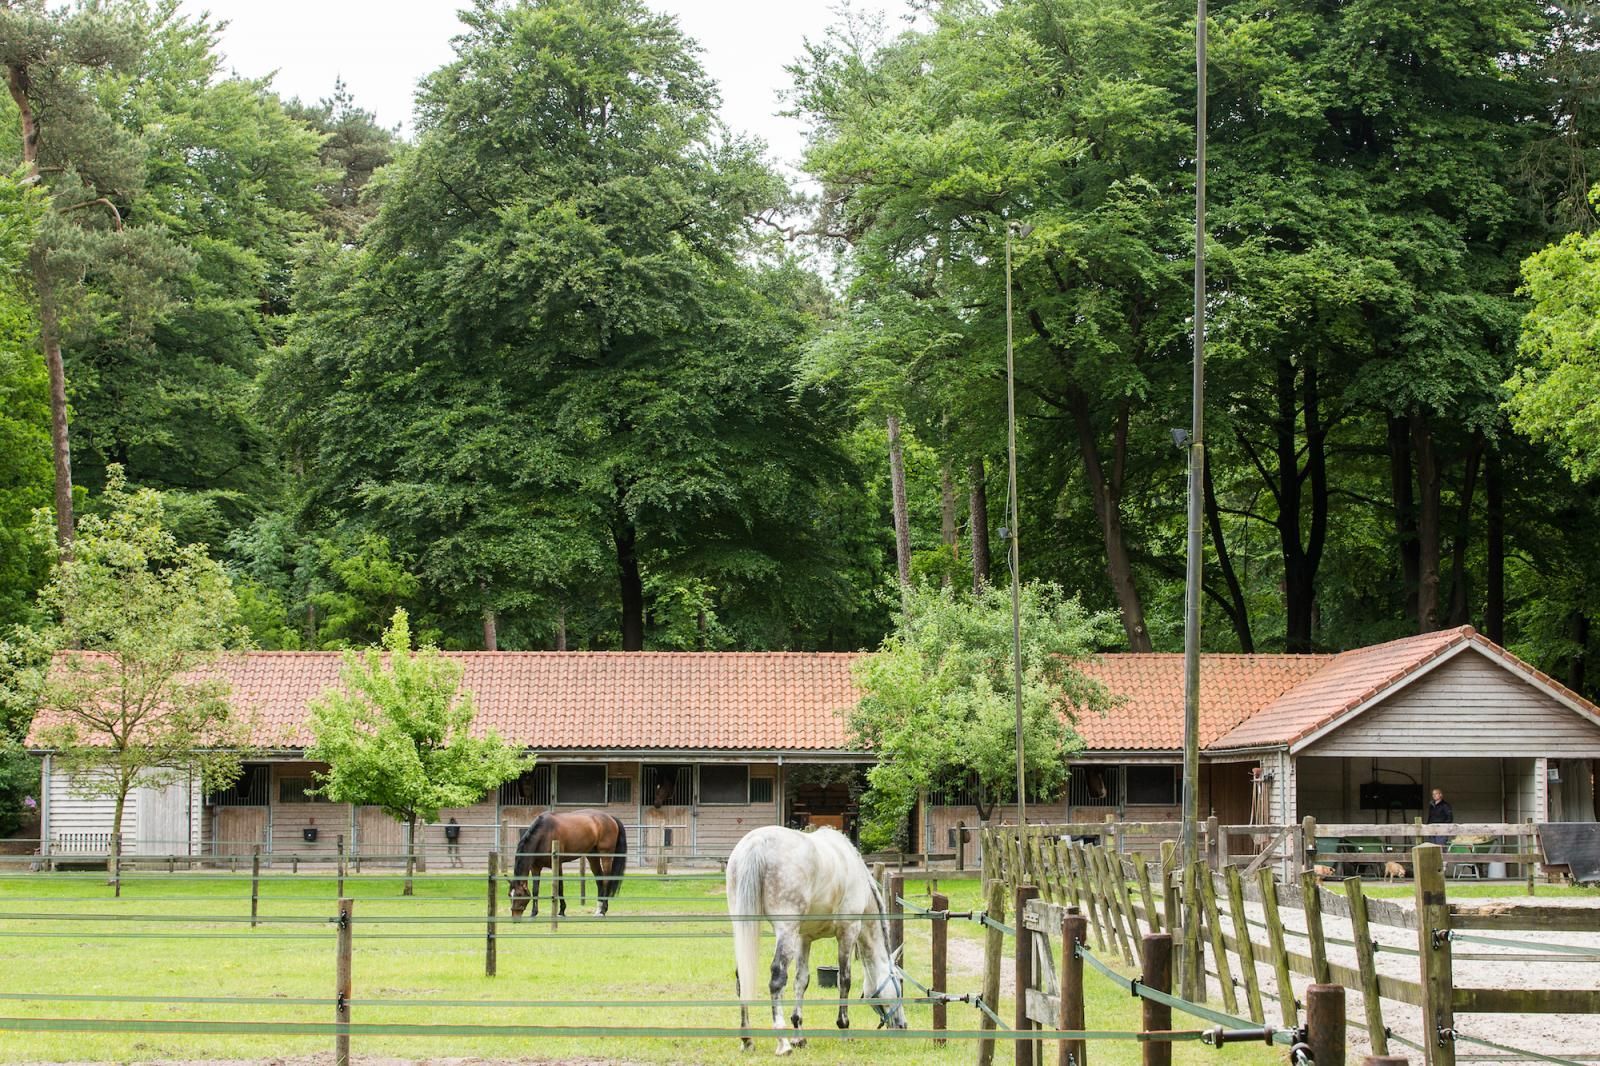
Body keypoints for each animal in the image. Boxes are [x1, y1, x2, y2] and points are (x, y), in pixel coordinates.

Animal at [726, 825, 906, 1055]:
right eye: (899, 980)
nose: (903, 1025)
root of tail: (758, 842)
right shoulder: (847, 933)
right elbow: (844, 980)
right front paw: (844, 1029)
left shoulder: (804, 938)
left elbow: (801, 980)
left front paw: (799, 1036)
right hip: (786, 931)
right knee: (777, 978)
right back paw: (782, 1043)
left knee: (743, 976)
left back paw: (747, 1039)